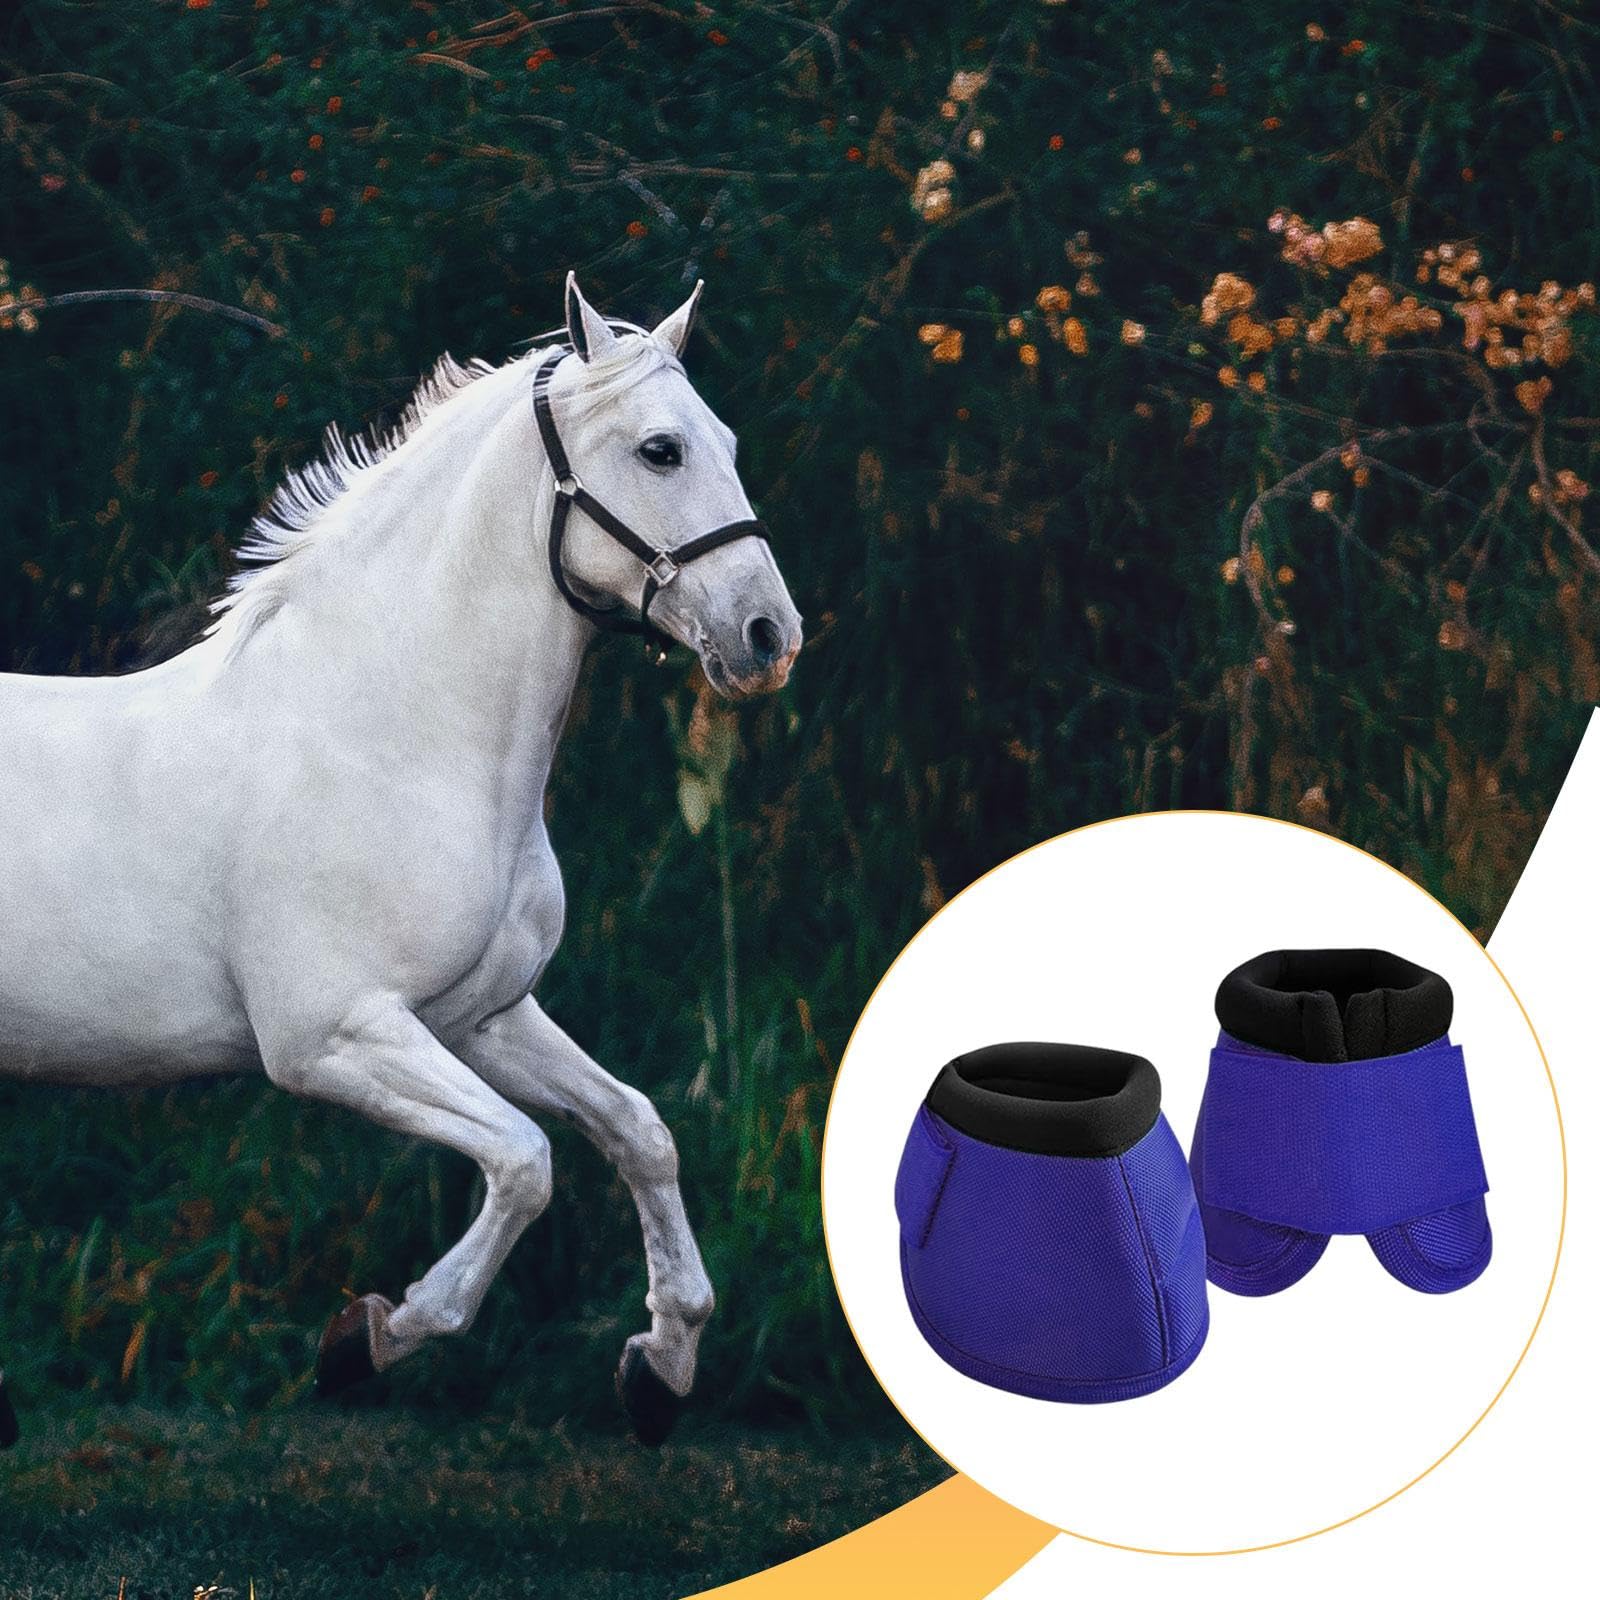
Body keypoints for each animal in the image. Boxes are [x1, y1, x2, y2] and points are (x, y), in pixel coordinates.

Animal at [0, 274, 802, 1449]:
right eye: (661, 450)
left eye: (729, 442)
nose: (767, 637)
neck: (390, 733)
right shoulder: (335, 1036)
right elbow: (525, 1162)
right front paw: (370, 1336)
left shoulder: (481, 1015)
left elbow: (637, 1129)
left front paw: (661, 1367)